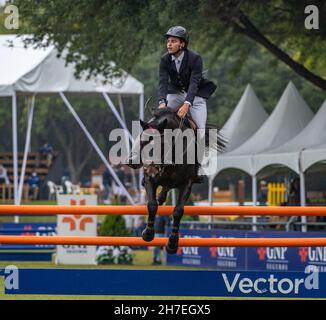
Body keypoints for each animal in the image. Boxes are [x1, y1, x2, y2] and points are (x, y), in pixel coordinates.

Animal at [136, 109, 225, 254]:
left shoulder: (186, 184)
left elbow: (178, 211)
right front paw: (148, 234)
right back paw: (161, 197)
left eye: (162, 144)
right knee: (164, 189)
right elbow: (152, 205)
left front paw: (172, 244)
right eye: (142, 143)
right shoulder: (150, 181)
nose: (151, 171)